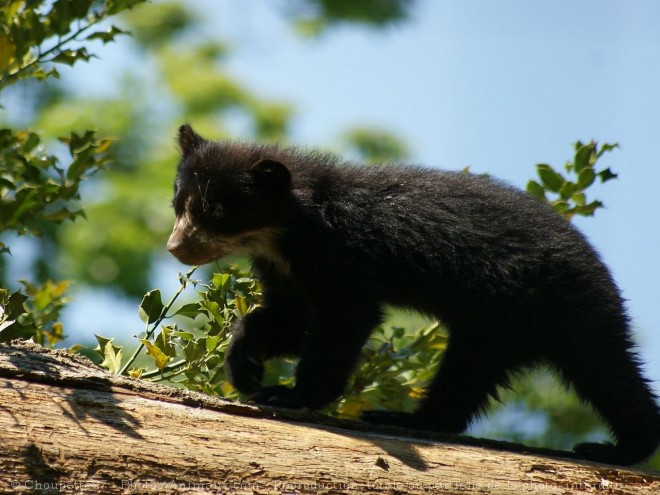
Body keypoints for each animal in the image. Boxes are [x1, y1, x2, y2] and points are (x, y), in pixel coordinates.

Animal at [168, 126, 656, 466]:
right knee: (466, 375)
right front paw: (245, 368)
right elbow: (288, 318)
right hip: (493, 328)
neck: (284, 233)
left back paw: (618, 449)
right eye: (179, 204)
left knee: (606, 370)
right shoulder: (286, 269)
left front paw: (289, 395)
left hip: (562, 306)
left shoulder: (344, 255)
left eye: (214, 211)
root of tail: (599, 268)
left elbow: (345, 320)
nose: (176, 248)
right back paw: (407, 418)